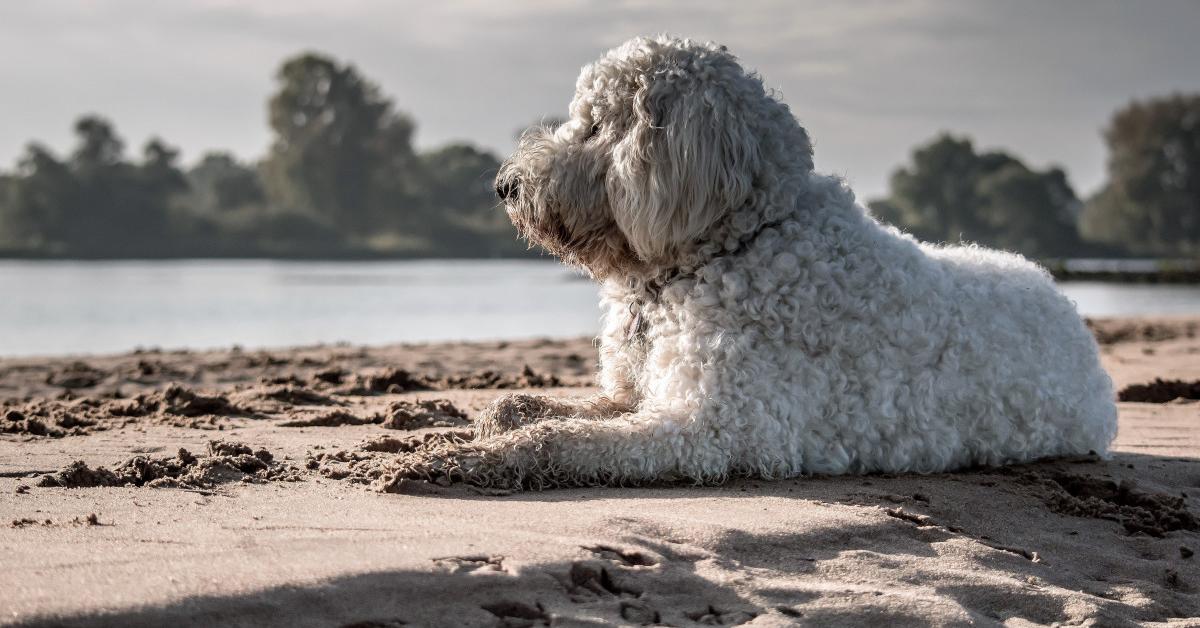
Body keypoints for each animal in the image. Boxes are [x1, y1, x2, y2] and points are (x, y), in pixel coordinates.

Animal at [388, 35, 1118, 492]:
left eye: (596, 125)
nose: (505, 185)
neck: (728, 244)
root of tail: (1062, 299)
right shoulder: (639, 395)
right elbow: (553, 409)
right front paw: (500, 413)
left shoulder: (713, 427)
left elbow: (561, 441)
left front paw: (466, 457)